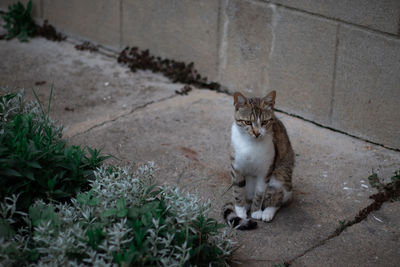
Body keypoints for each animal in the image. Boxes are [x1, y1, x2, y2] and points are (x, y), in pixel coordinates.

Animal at [223, 91, 296, 231]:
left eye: (264, 122)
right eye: (247, 122)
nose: (257, 133)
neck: (251, 144)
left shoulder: (266, 170)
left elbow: (260, 192)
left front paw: (256, 211)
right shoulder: (236, 167)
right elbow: (238, 189)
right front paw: (240, 211)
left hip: (280, 175)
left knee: (279, 198)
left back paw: (267, 212)